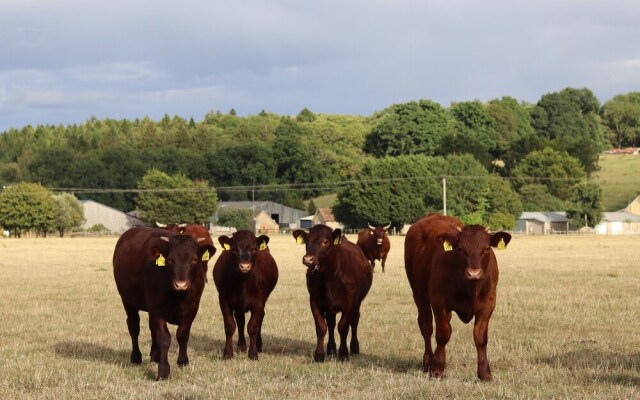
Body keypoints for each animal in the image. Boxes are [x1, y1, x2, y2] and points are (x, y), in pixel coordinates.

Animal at [112, 227, 215, 380]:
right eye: (170, 260)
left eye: (194, 259)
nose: (181, 284)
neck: (179, 297)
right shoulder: (157, 309)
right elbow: (164, 338)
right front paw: (164, 370)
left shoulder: (193, 308)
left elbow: (182, 334)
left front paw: (183, 361)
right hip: (128, 301)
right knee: (134, 327)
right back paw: (136, 357)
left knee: (151, 328)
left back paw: (155, 356)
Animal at [212, 230, 278, 360]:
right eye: (234, 249)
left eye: (254, 249)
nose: (245, 266)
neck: (243, 282)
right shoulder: (223, 300)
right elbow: (230, 326)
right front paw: (227, 353)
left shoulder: (258, 302)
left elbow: (252, 327)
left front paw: (253, 354)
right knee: (240, 320)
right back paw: (241, 346)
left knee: (259, 319)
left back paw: (258, 345)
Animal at [292, 225, 372, 362]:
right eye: (306, 241)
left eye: (325, 242)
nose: (308, 259)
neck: (329, 278)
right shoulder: (314, 301)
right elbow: (321, 327)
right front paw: (319, 355)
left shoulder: (350, 302)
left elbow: (343, 327)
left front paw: (344, 354)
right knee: (330, 323)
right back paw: (331, 349)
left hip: (358, 302)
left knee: (354, 320)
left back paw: (354, 347)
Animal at [404, 212, 510, 382]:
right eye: (461, 249)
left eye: (486, 249)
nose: (474, 273)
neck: (470, 288)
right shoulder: (439, 302)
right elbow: (443, 334)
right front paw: (437, 370)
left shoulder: (488, 304)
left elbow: (480, 337)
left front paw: (485, 373)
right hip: (419, 293)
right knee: (426, 326)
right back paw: (428, 363)